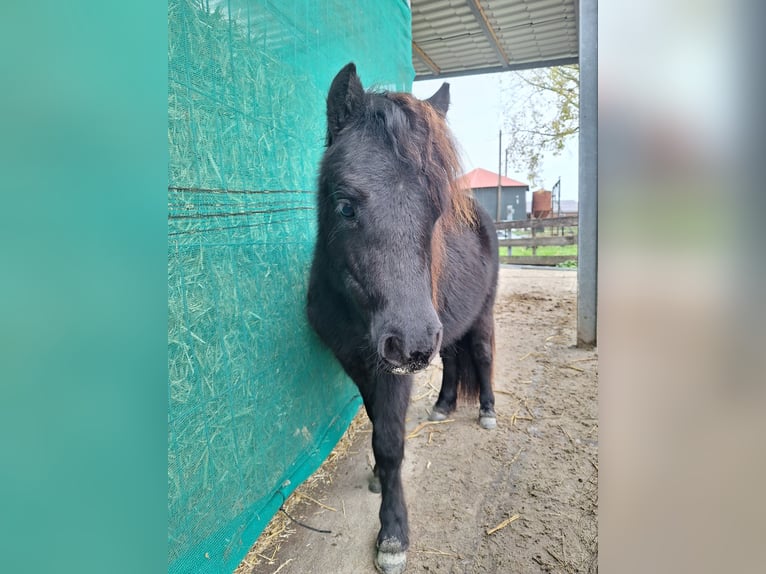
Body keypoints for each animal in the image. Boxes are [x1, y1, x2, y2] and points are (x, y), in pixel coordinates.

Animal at [308, 64, 500, 574]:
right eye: (345, 206)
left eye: (437, 209)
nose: (411, 342)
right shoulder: (359, 363)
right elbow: (376, 422)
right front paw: (377, 477)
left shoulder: (394, 370)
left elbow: (391, 441)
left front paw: (392, 534)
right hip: (443, 333)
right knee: (453, 360)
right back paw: (445, 405)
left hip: (477, 317)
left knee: (481, 355)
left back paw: (487, 410)